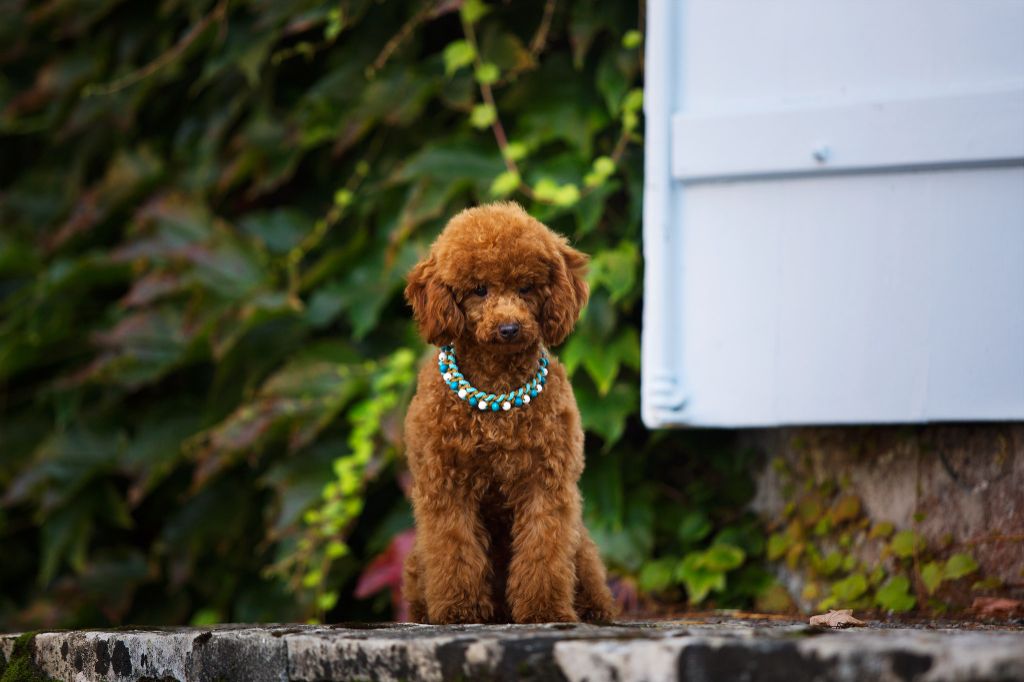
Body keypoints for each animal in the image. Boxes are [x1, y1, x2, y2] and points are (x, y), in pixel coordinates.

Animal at [401, 197, 614, 622]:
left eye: (526, 287)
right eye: (479, 290)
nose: (509, 328)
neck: (497, 388)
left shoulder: (546, 481)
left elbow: (543, 549)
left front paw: (545, 610)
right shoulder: (445, 484)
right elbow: (454, 548)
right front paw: (460, 610)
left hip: (581, 544)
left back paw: (594, 610)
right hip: (416, 561)